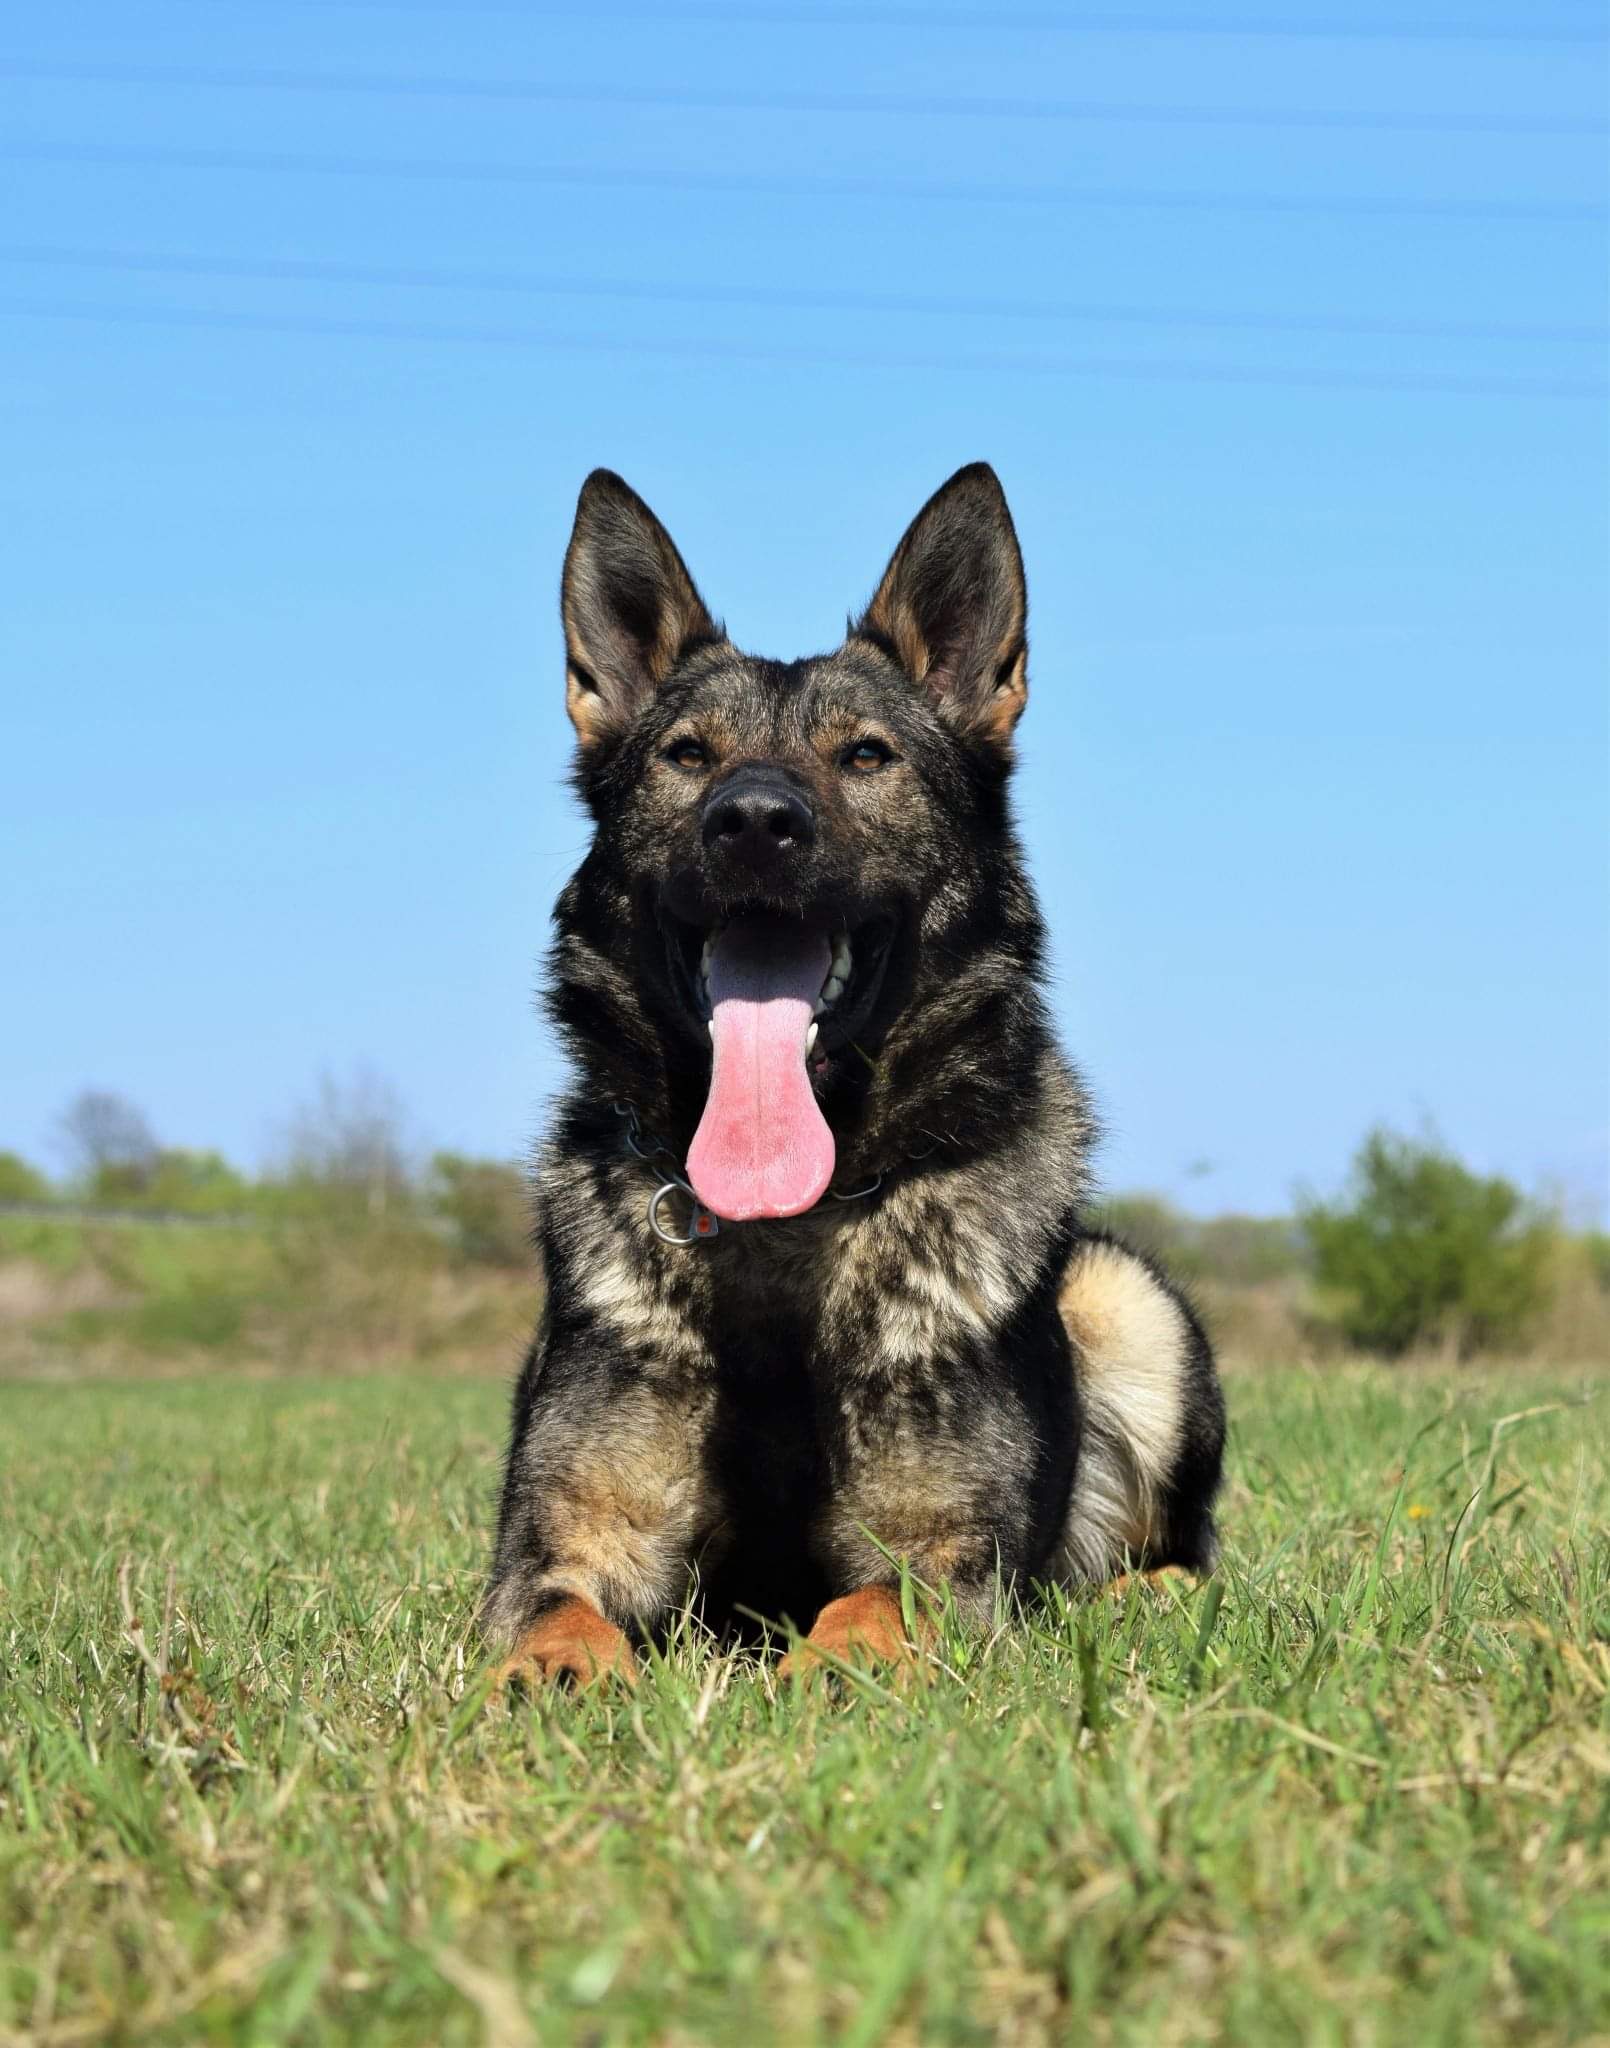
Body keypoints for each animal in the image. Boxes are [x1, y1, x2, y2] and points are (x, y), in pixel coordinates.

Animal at [483, 463, 1225, 1684]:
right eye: (687, 755)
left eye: (865, 755)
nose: (753, 820)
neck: (788, 1230)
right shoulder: (564, 1537)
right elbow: (557, 1610)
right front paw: (555, 1673)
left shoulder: (945, 1554)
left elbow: (872, 1607)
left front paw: (832, 1670)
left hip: (1125, 1297)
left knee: (1179, 1556)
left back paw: (1128, 1599)